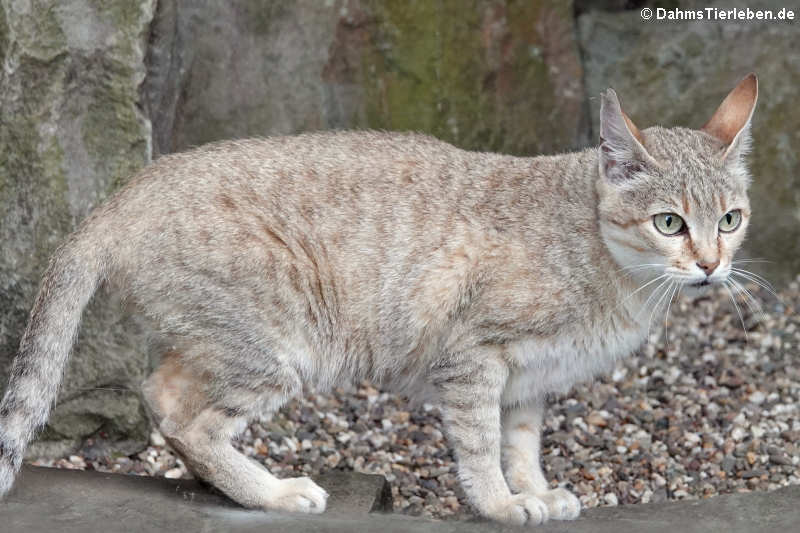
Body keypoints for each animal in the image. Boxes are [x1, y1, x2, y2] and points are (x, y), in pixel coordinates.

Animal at [0, 74, 760, 524]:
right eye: (670, 222)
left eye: (730, 219)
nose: (711, 264)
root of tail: (125, 193)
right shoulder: (475, 355)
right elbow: (481, 445)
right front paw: (500, 503)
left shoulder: (529, 380)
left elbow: (521, 444)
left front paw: (535, 490)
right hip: (275, 346)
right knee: (190, 419)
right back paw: (272, 492)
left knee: (161, 394)